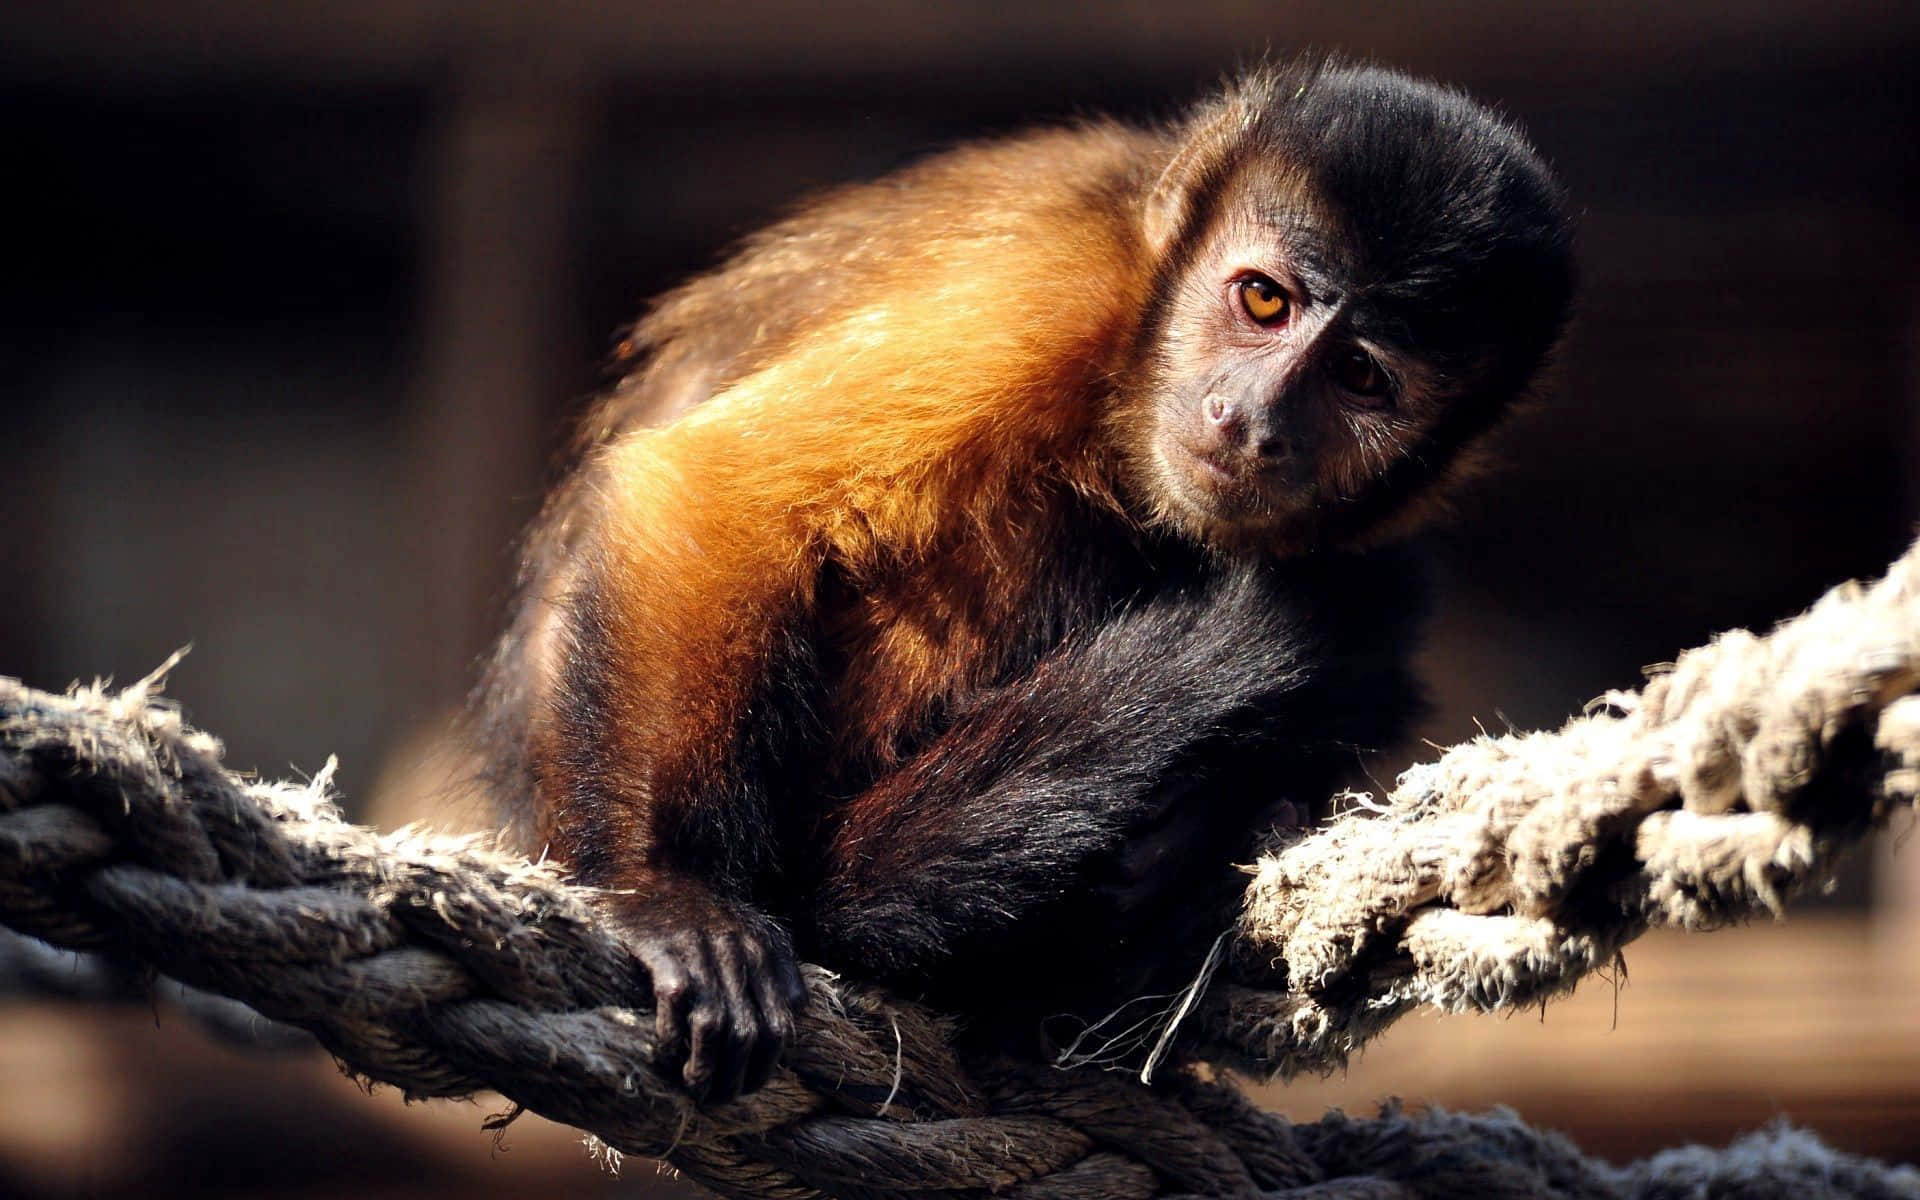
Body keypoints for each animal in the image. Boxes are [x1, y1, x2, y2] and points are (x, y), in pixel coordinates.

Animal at [480, 60, 1574, 1105]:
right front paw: (664, 891)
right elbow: (716, 493)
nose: (1250, 420)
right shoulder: (1044, 296)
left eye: (1359, 378)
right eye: (1265, 301)